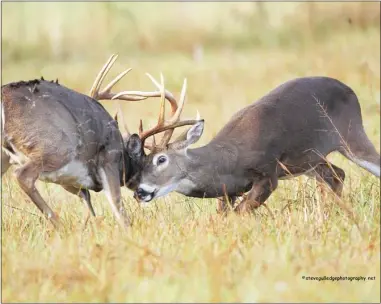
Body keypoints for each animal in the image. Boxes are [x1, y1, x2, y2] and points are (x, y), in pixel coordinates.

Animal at [2, 54, 199, 228]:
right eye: (147, 162)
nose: (140, 192)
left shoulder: (70, 181)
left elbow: (89, 206)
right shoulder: (109, 159)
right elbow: (118, 207)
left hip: (7, 156)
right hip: (55, 147)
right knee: (23, 175)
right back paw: (60, 226)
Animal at [132, 76, 378, 214]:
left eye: (161, 159)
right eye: (142, 162)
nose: (140, 191)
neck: (228, 162)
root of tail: (350, 90)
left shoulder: (268, 174)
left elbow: (240, 214)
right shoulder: (228, 190)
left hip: (351, 134)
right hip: (308, 160)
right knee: (337, 175)